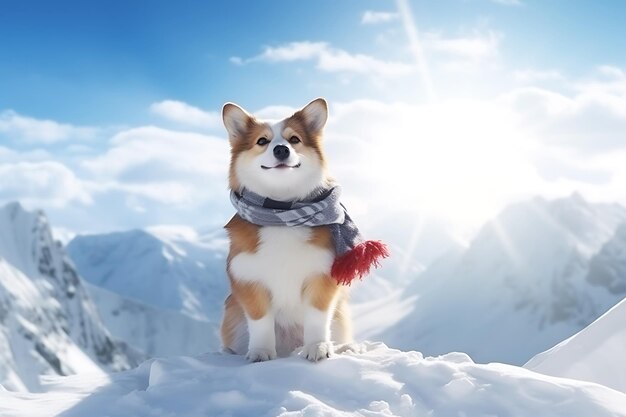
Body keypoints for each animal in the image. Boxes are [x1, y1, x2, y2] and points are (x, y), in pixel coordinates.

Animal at [222, 97, 354, 360]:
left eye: (294, 139)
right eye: (262, 141)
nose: (281, 149)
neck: (281, 211)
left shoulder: (321, 275)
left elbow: (316, 317)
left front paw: (317, 347)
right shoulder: (249, 279)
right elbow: (261, 322)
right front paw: (260, 353)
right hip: (233, 317)